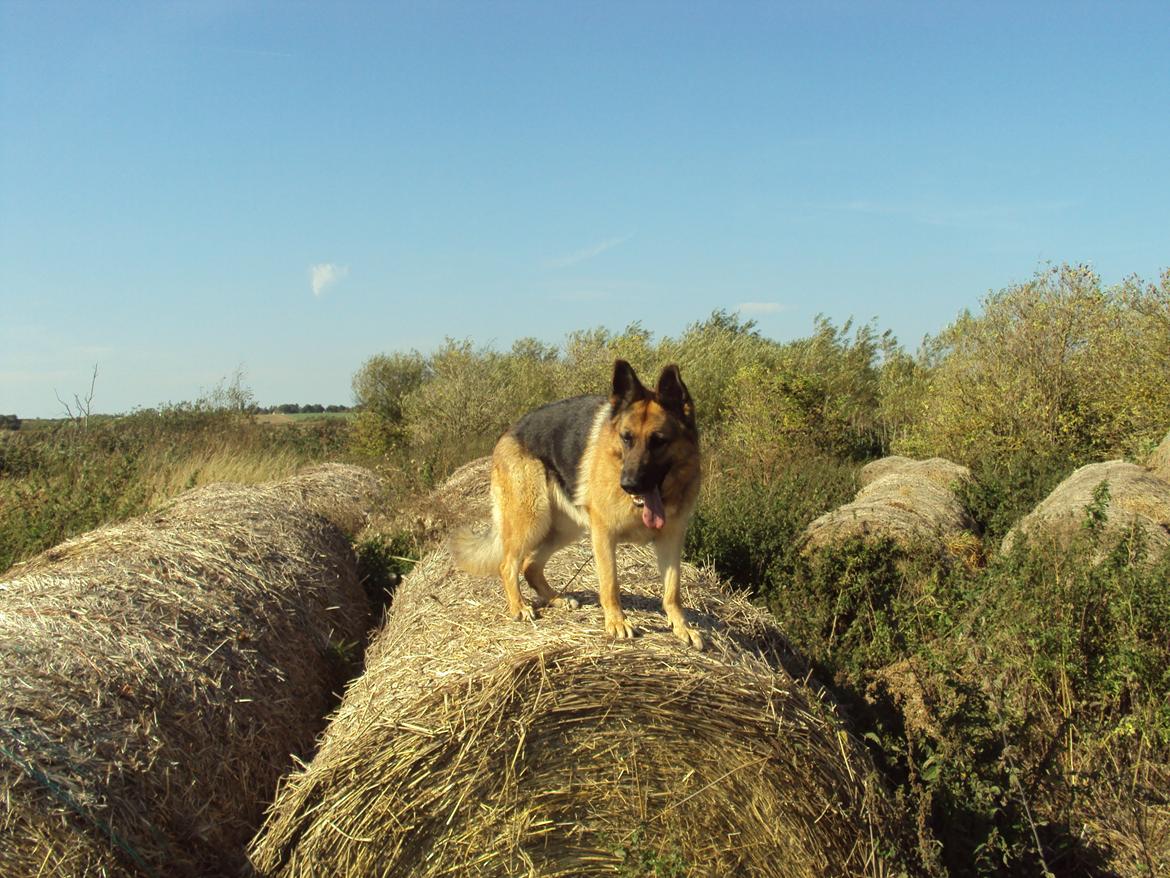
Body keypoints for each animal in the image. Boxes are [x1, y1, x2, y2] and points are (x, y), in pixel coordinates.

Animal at [449, 360, 702, 650]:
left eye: (658, 440)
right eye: (626, 438)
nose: (628, 484)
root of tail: (508, 431)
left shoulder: (671, 539)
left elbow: (673, 591)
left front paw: (682, 627)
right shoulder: (603, 534)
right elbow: (610, 584)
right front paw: (617, 622)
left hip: (563, 529)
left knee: (530, 566)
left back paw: (555, 599)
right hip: (533, 520)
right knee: (508, 565)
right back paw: (519, 606)